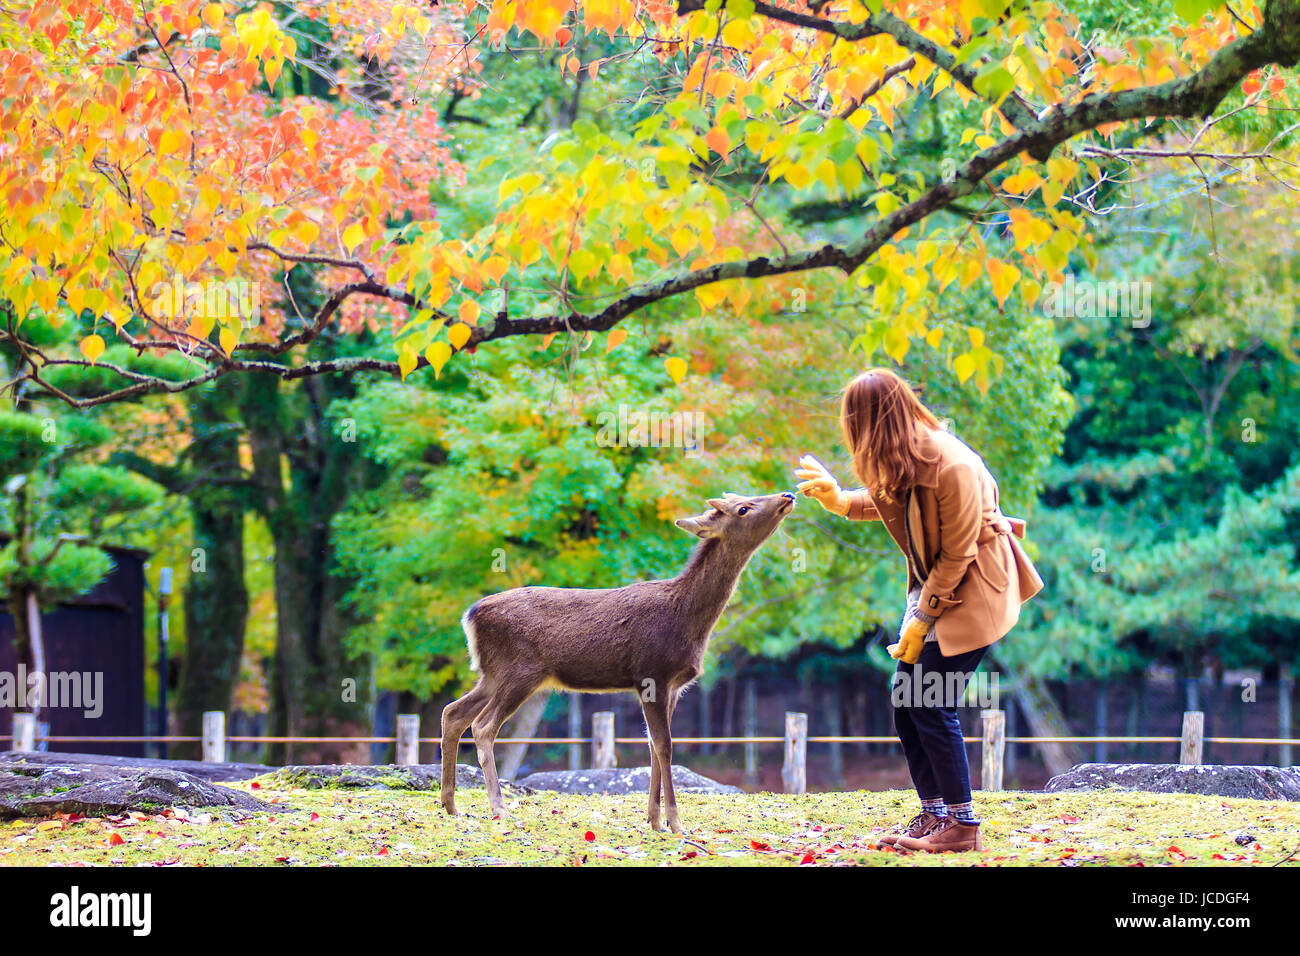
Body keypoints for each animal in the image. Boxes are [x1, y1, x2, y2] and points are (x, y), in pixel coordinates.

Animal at [441, 494, 795, 832]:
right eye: (743, 508)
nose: (787, 496)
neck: (688, 620)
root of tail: (469, 615)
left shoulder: (674, 686)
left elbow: (651, 745)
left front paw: (654, 820)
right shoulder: (652, 673)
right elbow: (664, 745)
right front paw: (676, 823)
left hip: (492, 674)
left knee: (453, 712)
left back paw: (451, 805)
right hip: (519, 671)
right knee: (483, 726)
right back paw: (499, 808)